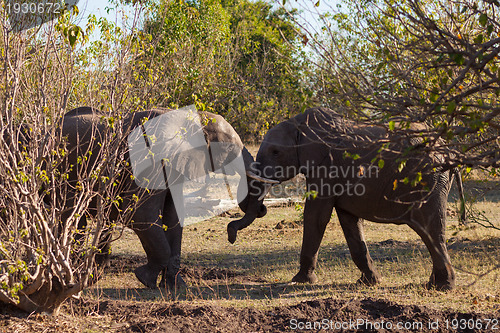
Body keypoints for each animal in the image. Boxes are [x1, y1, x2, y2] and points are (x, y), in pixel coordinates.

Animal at [61, 106, 266, 288]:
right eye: (229, 148)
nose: (231, 236)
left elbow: (173, 217)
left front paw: (175, 286)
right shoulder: (150, 161)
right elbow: (140, 214)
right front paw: (145, 279)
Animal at [228, 107, 464, 290]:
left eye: (275, 152)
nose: (231, 236)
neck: (299, 124)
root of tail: (451, 151)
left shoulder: (326, 167)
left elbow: (316, 216)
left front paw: (300, 281)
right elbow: (349, 221)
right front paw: (369, 282)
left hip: (428, 180)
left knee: (430, 230)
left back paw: (442, 287)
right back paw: (433, 284)